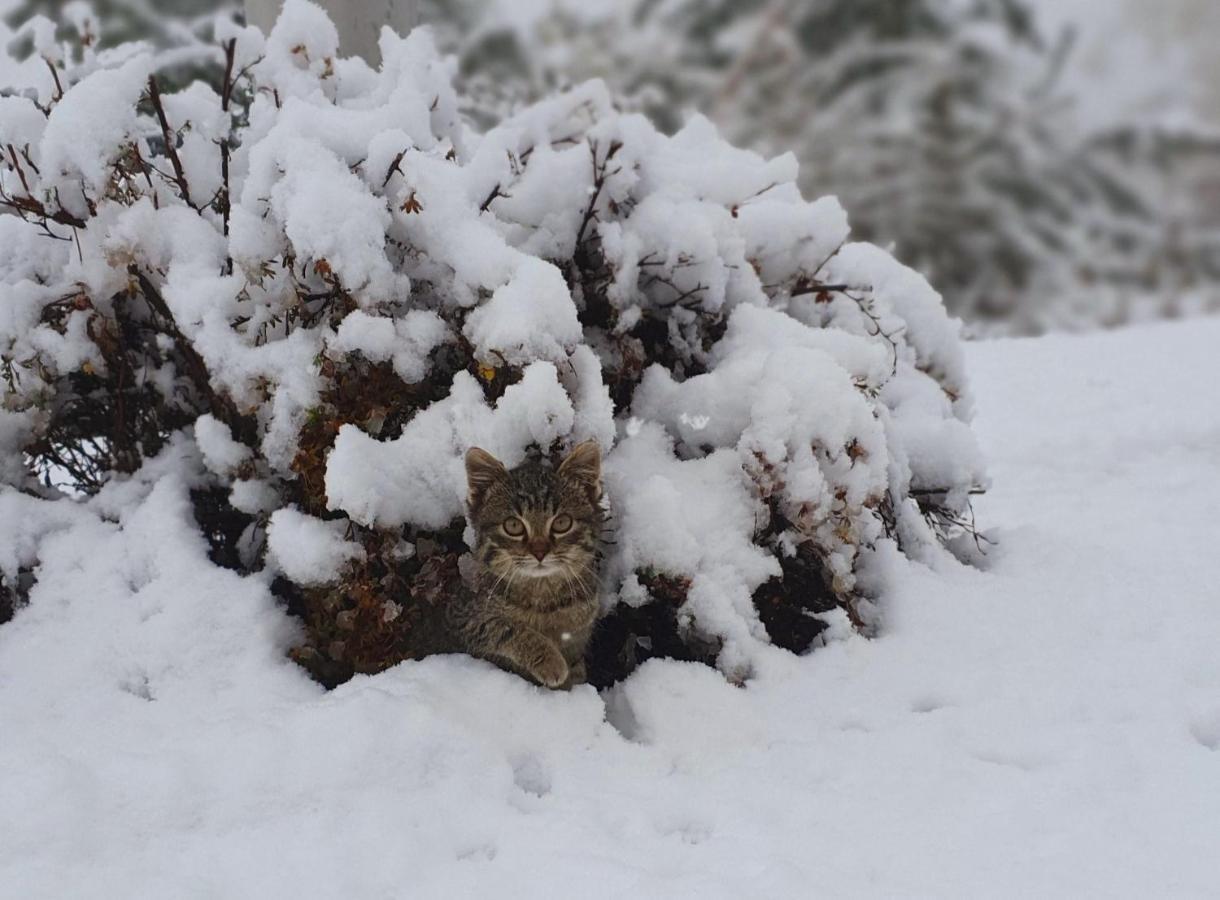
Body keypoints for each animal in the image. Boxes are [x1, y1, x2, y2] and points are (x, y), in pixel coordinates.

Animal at [446, 441, 602, 687]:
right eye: (513, 526)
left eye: (562, 523)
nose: (539, 552)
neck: (543, 598)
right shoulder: (461, 618)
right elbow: (503, 627)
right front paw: (551, 661)